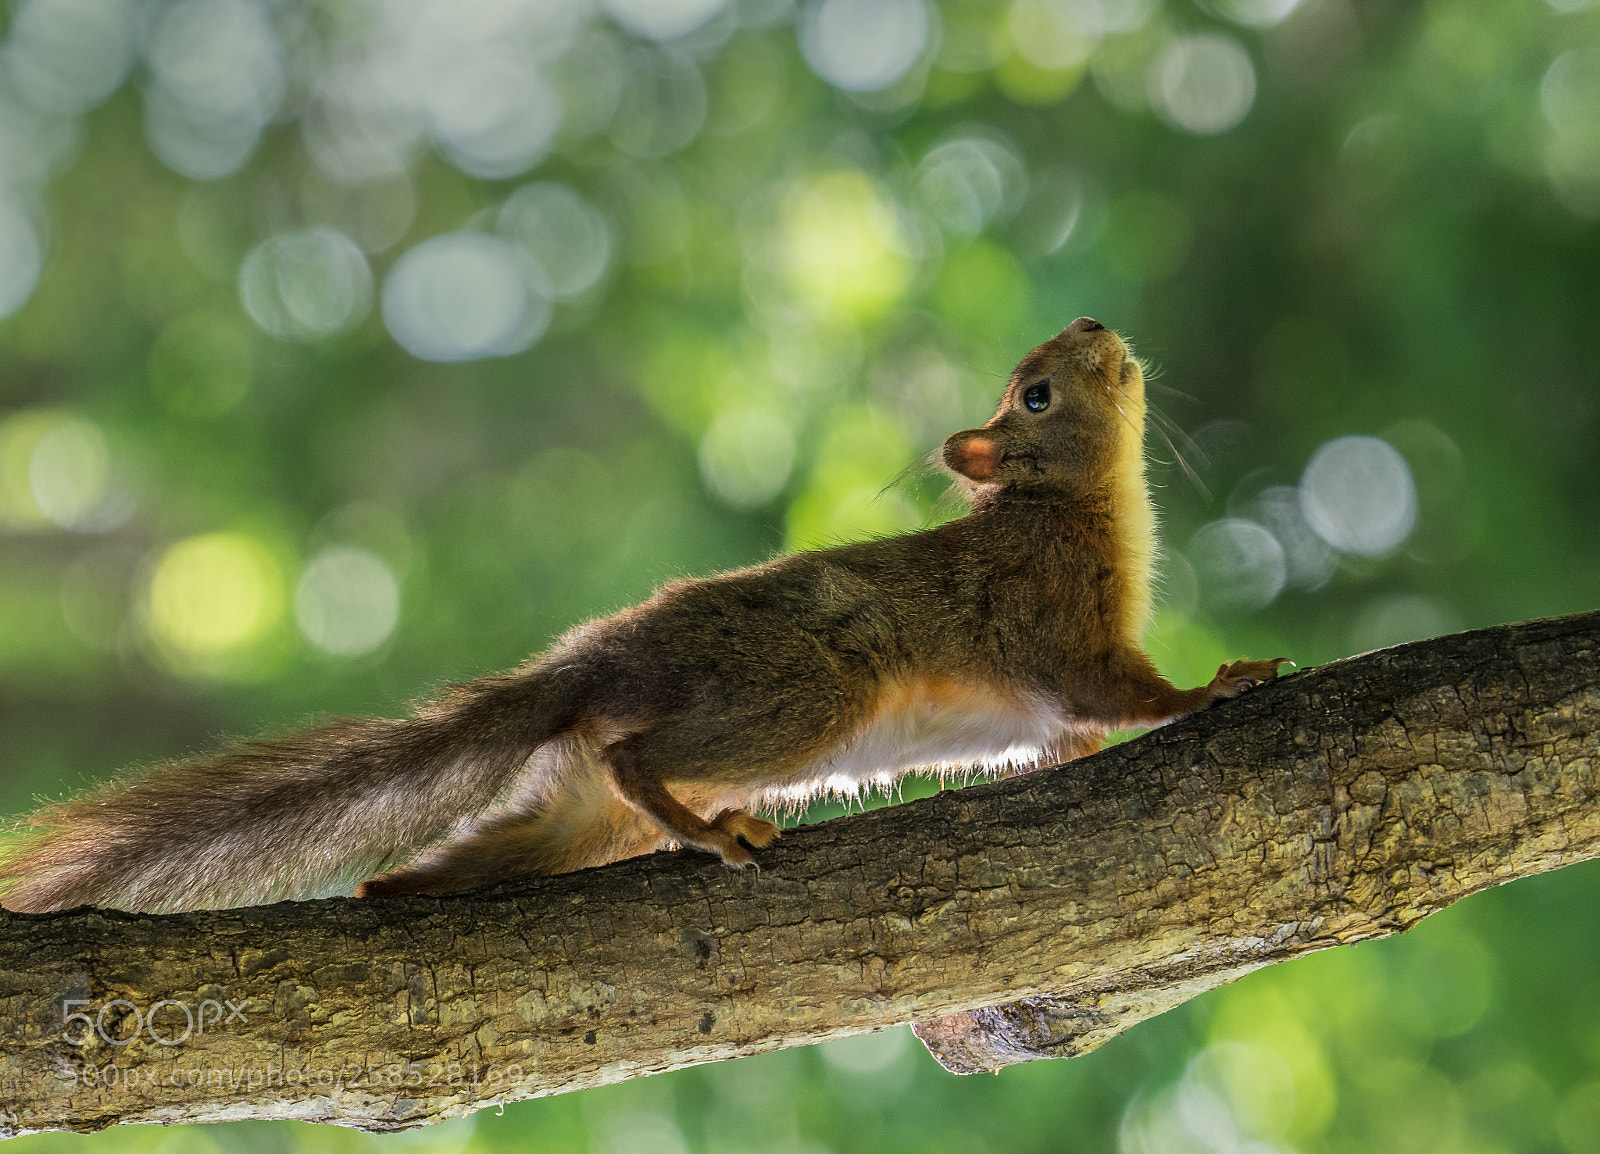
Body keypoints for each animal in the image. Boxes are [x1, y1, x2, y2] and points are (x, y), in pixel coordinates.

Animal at [0, 318, 1287, 914]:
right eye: (1036, 392)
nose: (1097, 329)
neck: (1067, 502)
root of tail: (595, 663)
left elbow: (1070, 729)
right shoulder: (1053, 618)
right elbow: (1121, 692)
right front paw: (1217, 684)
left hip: (572, 813)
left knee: (514, 836)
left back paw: (396, 888)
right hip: (796, 692)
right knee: (634, 759)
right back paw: (710, 828)